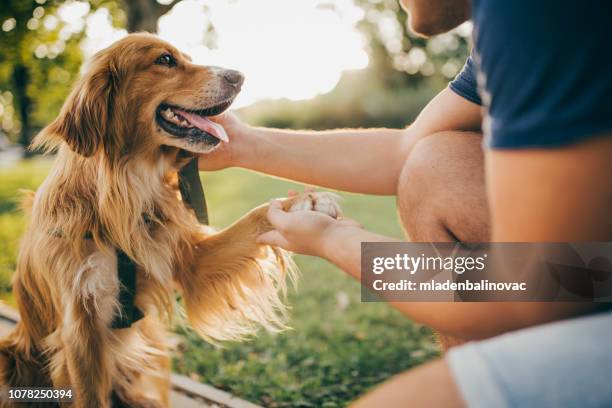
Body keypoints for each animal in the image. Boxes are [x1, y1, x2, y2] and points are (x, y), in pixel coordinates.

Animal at [0, 33, 340, 406]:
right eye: (164, 60)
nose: (239, 76)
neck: (123, 193)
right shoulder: (79, 332)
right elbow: (89, 395)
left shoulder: (189, 260)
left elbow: (253, 219)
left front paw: (305, 203)